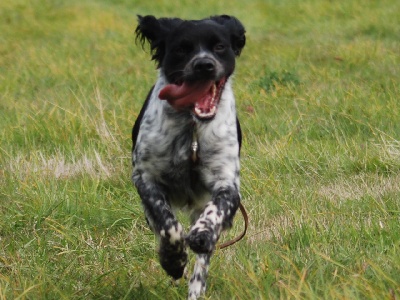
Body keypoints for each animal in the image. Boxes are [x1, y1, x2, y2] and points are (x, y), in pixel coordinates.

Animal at [132, 15, 244, 298]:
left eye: (219, 47)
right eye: (182, 49)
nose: (204, 65)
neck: (192, 127)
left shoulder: (227, 182)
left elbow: (214, 215)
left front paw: (202, 235)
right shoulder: (145, 177)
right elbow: (168, 225)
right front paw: (173, 259)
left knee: (202, 263)